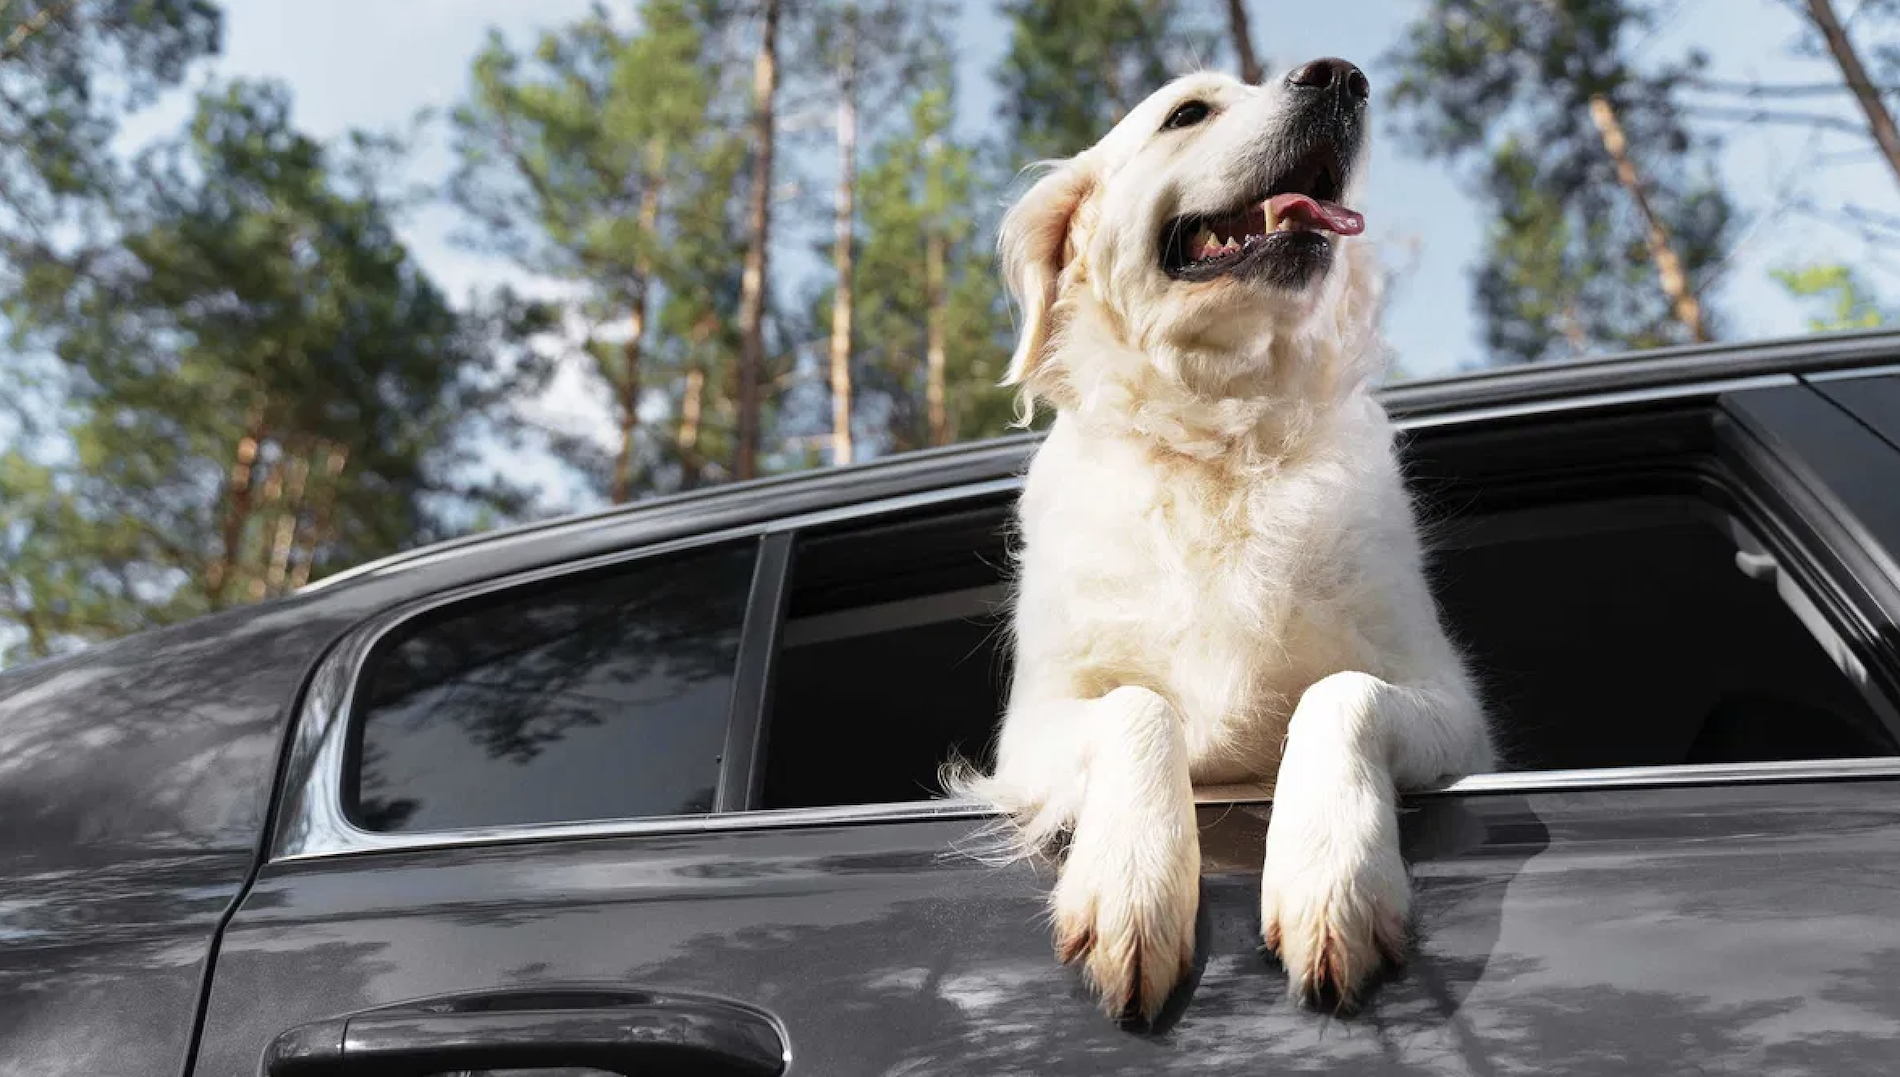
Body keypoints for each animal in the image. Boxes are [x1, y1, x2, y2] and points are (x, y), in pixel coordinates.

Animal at [950, 63, 1497, 1025]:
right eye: (1188, 113)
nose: (1341, 77)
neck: (1220, 440)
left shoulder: (1450, 705)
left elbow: (1341, 691)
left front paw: (1330, 875)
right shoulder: (1032, 728)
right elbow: (1140, 707)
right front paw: (1133, 883)